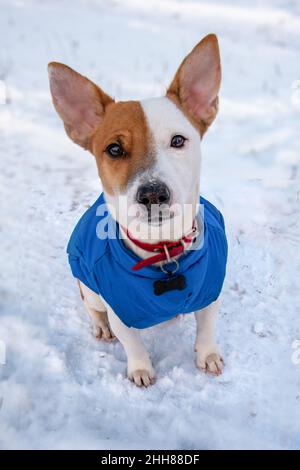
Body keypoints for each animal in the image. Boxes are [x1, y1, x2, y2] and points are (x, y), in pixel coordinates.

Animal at [48, 32, 227, 386]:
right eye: (114, 149)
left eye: (178, 140)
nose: (154, 193)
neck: (165, 252)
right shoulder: (119, 307)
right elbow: (131, 340)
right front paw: (141, 368)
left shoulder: (211, 289)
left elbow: (207, 326)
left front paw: (207, 353)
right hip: (88, 288)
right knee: (91, 307)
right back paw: (99, 326)